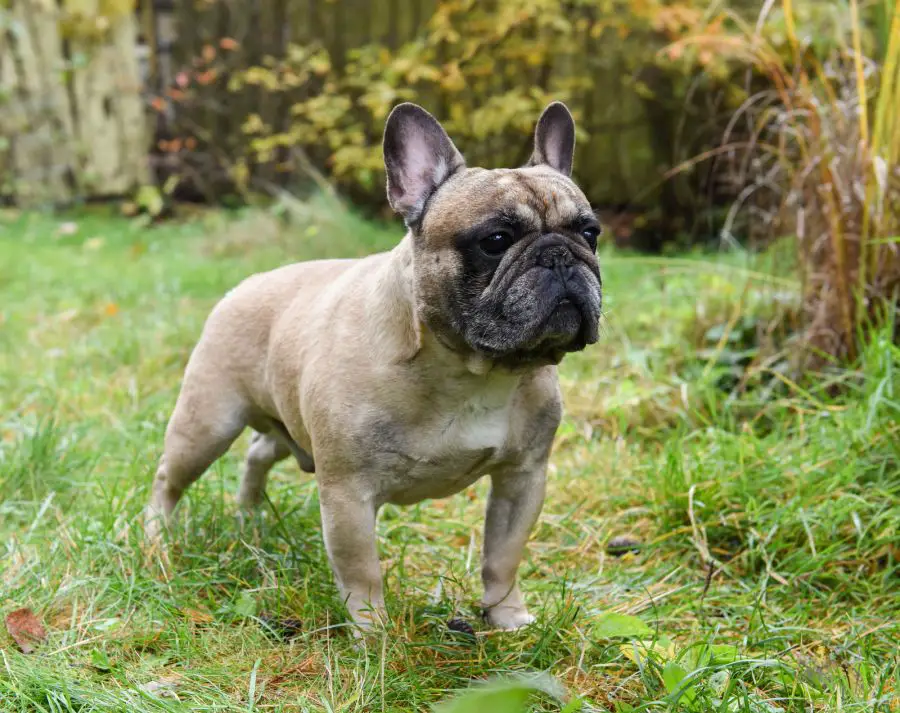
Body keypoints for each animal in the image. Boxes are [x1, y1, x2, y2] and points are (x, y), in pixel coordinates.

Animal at [144, 101, 600, 628]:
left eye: (590, 233)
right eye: (496, 238)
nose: (561, 256)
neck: (472, 371)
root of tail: (247, 284)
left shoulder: (522, 478)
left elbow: (503, 556)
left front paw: (507, 617)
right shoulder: (347, 494)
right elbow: (362, 574)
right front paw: (375, 635)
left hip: (287, 425)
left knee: (258, 452)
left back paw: (251, 515)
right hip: (208, 423)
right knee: (169, 479)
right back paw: (156, 542)